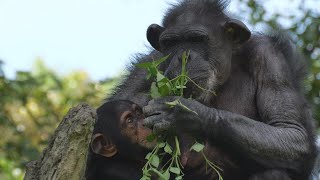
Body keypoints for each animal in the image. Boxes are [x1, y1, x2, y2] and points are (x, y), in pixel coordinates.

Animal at [109, 0, 316, 179]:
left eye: (197, 39)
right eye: (170, 43)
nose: (184, 56)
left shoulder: (270, 58)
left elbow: (291, 131)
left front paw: (181, 112)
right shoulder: (149, 63)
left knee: (274, 171)